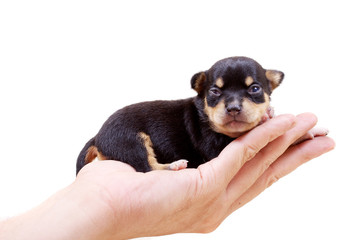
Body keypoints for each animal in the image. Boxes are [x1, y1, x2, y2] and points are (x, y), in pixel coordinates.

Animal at [75, 57, 318, 173]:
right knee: (147, 168)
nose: (233, 108)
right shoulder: (216, 148)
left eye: (255, 89)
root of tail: (97, 136)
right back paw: (174, 166)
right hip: (131, 143)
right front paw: (269, 119)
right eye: (215, 92)